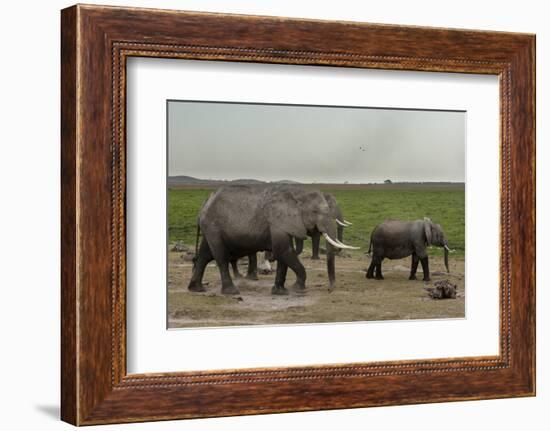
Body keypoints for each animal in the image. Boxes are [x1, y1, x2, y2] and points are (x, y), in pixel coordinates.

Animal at [188, 184, 360, 296]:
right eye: (315, 211)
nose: (330, 289)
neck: (296, 195)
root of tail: (204, 204)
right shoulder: (278, 221)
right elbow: (283, 251)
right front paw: (297, 288)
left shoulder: (284, 223)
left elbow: (284, 254)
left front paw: (280, 292)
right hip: (213, 227)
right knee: (220, 257)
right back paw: (231, 292)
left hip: (210, 228)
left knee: (204, 255)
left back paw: (197, 289)